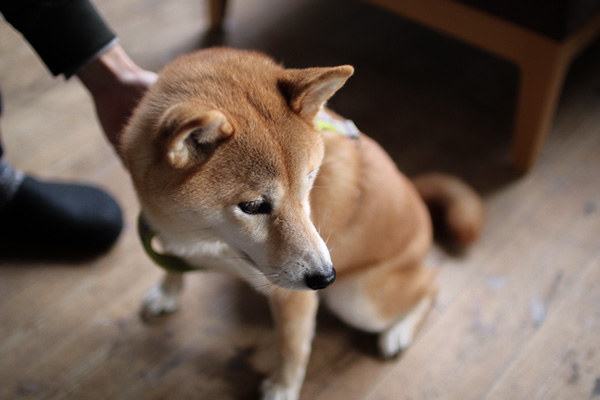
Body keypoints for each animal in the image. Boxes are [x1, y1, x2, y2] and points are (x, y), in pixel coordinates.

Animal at [120, 47, 482, 400]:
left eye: (308, 183)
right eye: (253, 206)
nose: (325, 277)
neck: (209, 240)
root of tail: (416, 196)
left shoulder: (293, 296)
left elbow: (292, 348)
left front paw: (283, 389)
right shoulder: (169, 230)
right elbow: (171, 262)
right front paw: (167, 291)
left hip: (357, 301)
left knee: (431, 284)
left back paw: (398, 332)